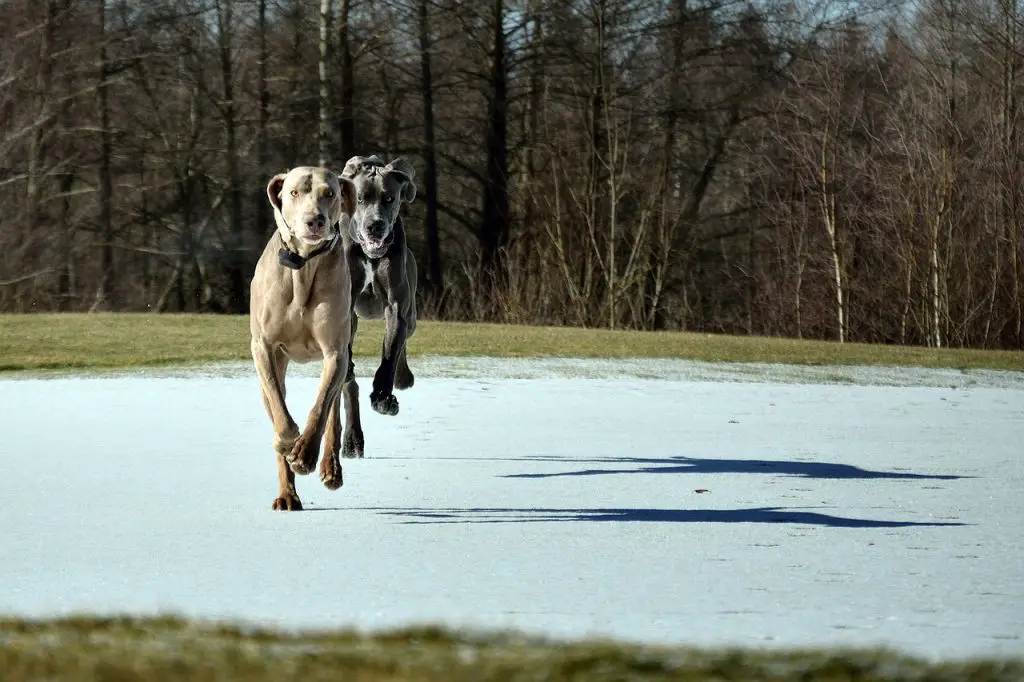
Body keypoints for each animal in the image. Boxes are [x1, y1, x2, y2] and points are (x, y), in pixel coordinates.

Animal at [248, 164, 356, 507]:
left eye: (330, 193)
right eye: (294, 192)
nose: (314, 220)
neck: (304, 267)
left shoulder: (335, 351)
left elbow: (320, 407)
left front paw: (305, 454)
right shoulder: (264, 347)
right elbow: (279, 407)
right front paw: (287, 443)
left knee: (334, 410)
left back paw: (329, 467)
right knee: (275, 400)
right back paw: (287, 495)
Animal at [335, 151, 415, 454]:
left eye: (389, 198)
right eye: (360, 199)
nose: (375, 225)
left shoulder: (397, 307)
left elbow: (390, 353)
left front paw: (383, 397)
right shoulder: (344, 307)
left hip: (412, 316)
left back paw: (402, 379)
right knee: (347, 387)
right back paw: (352, 439)